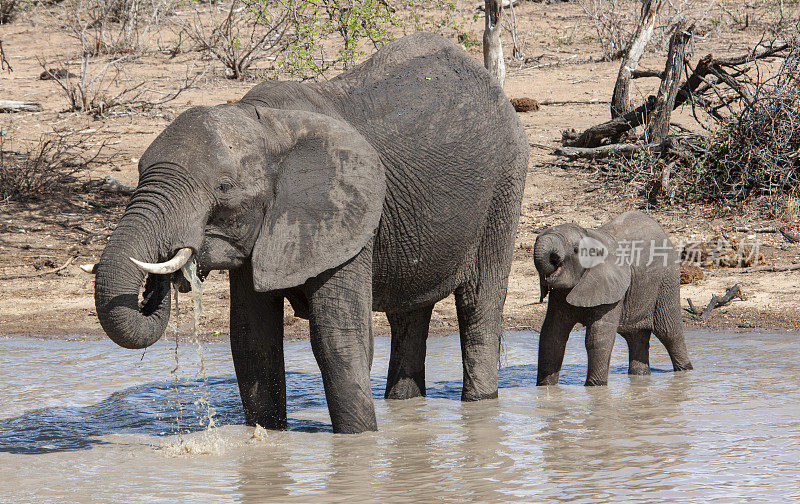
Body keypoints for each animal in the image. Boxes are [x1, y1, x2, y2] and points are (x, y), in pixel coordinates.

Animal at [90, 32, 528, 434]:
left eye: (224, 188)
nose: (162, 279)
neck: (267, 124)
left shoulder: (345, 219)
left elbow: (338, 341)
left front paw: (359, 442)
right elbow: (251, 340)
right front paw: (266, 436)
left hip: (505, 183)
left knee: (479, 304)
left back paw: (480, 402)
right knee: (409, 312)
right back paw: (404, 405)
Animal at [532, 209, 692, 386]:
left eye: (575, 250)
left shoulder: (612, 290)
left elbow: (597, 338)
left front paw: (595, 387)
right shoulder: (559, 295)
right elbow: (551, 336)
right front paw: (545, 388)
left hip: (666, 280)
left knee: (669, 332)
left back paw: (685, 370)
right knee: (635, 335)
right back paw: (640, 375)